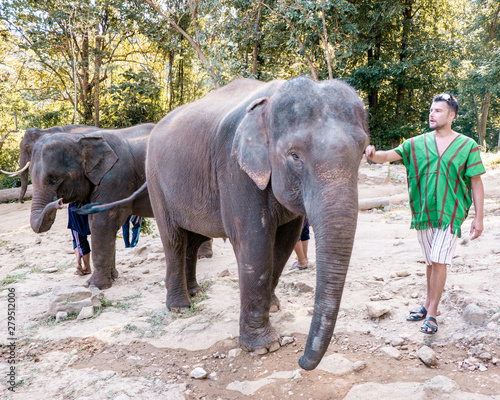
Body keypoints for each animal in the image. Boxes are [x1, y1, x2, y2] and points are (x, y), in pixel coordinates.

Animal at [29, 123, 155, 290]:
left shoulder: (115, 179)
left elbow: (102, 223)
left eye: (54, 178)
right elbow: (95, 222)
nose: (59, 202)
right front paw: (113, 278)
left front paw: (94, 285)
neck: (80, 138)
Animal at [84, 76, 370, 370]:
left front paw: (273, 307)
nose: (301, 361)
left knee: (193, 239)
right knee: (174, 240)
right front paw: (264, 346)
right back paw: (180, 307)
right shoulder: (233, 168)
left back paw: (195, 292)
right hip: (156, 182)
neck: (270, 102)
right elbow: (254, 242)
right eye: (295, 156)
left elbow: (284, 243)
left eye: (363, 152)